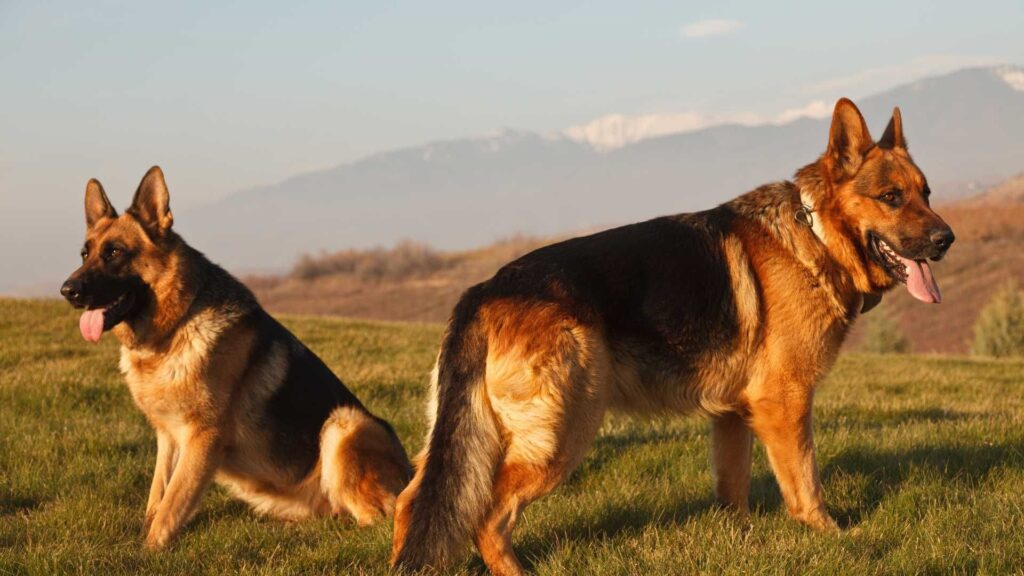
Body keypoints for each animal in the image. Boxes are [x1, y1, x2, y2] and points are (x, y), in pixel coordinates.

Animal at [59, 166, 409, 545]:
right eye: (85, 254)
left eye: (115, 253)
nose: (67, 290)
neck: (175, 327)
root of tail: (409, 475)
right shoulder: (168, 439)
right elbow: (157, 498)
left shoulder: (202, 438)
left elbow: (170, 507)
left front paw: (146, 551)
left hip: (345, 423)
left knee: (375, 519)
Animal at [391, 98, 950, 569]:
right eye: (891, 197)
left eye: (926, 194)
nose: (947, 239)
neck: (815, 234)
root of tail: (485, 290)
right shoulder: (785, 404)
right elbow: (806, 483)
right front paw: (832, 537)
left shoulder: (735, 415)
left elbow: (733, 489)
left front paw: (740, 542)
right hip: (559, 435)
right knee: (486, 516)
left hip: (479, 440)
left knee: (412, 500)